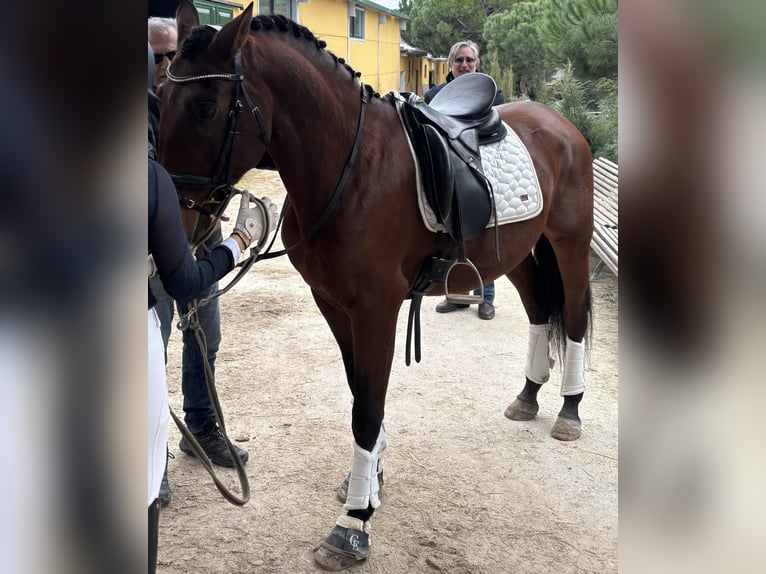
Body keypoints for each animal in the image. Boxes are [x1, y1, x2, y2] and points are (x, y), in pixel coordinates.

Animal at [158, 2, 593, 569]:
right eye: (160, 100)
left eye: (207, 108)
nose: (171, 224)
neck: (350, 169)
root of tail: (558, 123)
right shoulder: (333, 304)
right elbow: (357, 393)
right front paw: (369, 483)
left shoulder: (375, 310)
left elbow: (366, 409)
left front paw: (353, 522)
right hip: (517, 251)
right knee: (542, 312)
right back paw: (528, 394)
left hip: (570, 244)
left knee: (576, 319)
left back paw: (569, 408)